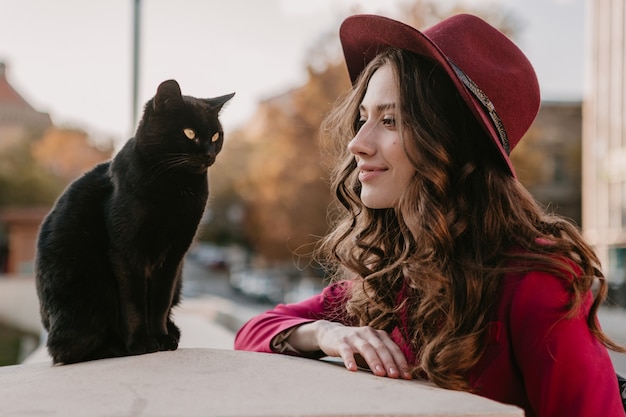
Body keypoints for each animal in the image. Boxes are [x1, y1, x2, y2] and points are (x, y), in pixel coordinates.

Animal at [35, 79, 234, 362]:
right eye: (189, 133)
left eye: (216, 136)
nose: (208, 154)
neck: (176, 188)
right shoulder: (126, 252)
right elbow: (134, 303)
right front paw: (141, 343)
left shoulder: (174, 256)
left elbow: (159, 301)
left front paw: (161, 337)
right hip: (94, 290)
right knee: (68, 350)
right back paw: (116, 347)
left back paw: (171, 333)